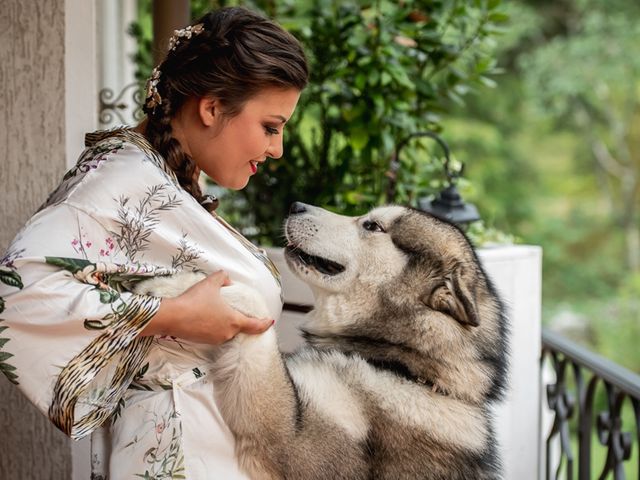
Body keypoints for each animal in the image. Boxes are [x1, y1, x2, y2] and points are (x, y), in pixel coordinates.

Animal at [138, 203, 508, 480]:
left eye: (372, 226)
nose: (294, 204)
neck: (402, 366)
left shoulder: (292, 441)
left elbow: (256, 305)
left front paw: (183, 292)